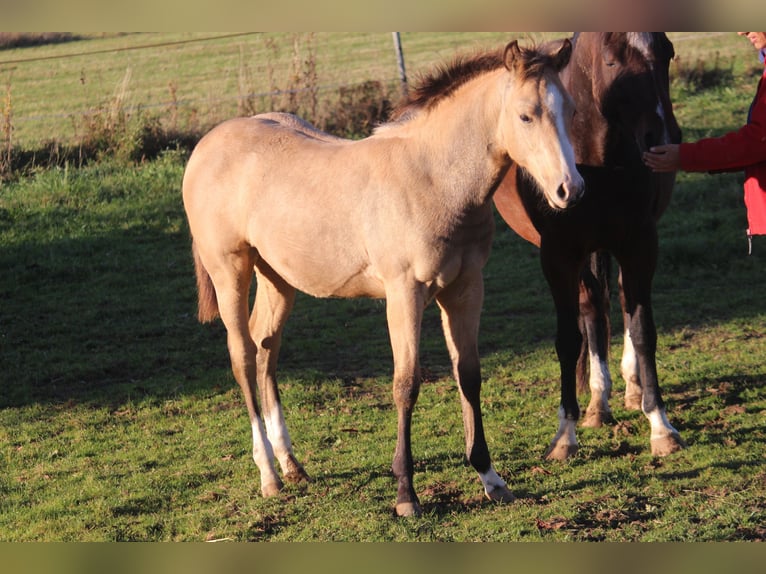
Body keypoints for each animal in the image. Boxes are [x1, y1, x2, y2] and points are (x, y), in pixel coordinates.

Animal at [184, 39, 584, 516]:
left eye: (571, 110)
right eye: (526, 115)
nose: (570, 190)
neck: (433, 179)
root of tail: (207, 145)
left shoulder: (466, 289)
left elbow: (468, 375)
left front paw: (491, 478)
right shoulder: (404, 292)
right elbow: (406, 384)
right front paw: (406, 494)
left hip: (277, 277)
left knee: (266, 348)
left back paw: (291, 465)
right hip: (231, 271)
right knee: (243, 354)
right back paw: (268, 476)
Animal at [496, 32, 688, 464]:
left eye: (667, 51)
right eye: (613, 61)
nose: (664, 139)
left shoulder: (640, 243)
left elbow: (642, 328)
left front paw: (660, 425)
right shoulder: (559, 255)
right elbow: (572, 336)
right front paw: (567, 434)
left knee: (618, 300)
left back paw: (631, 388)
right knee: (593, 306)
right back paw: (599, 402)